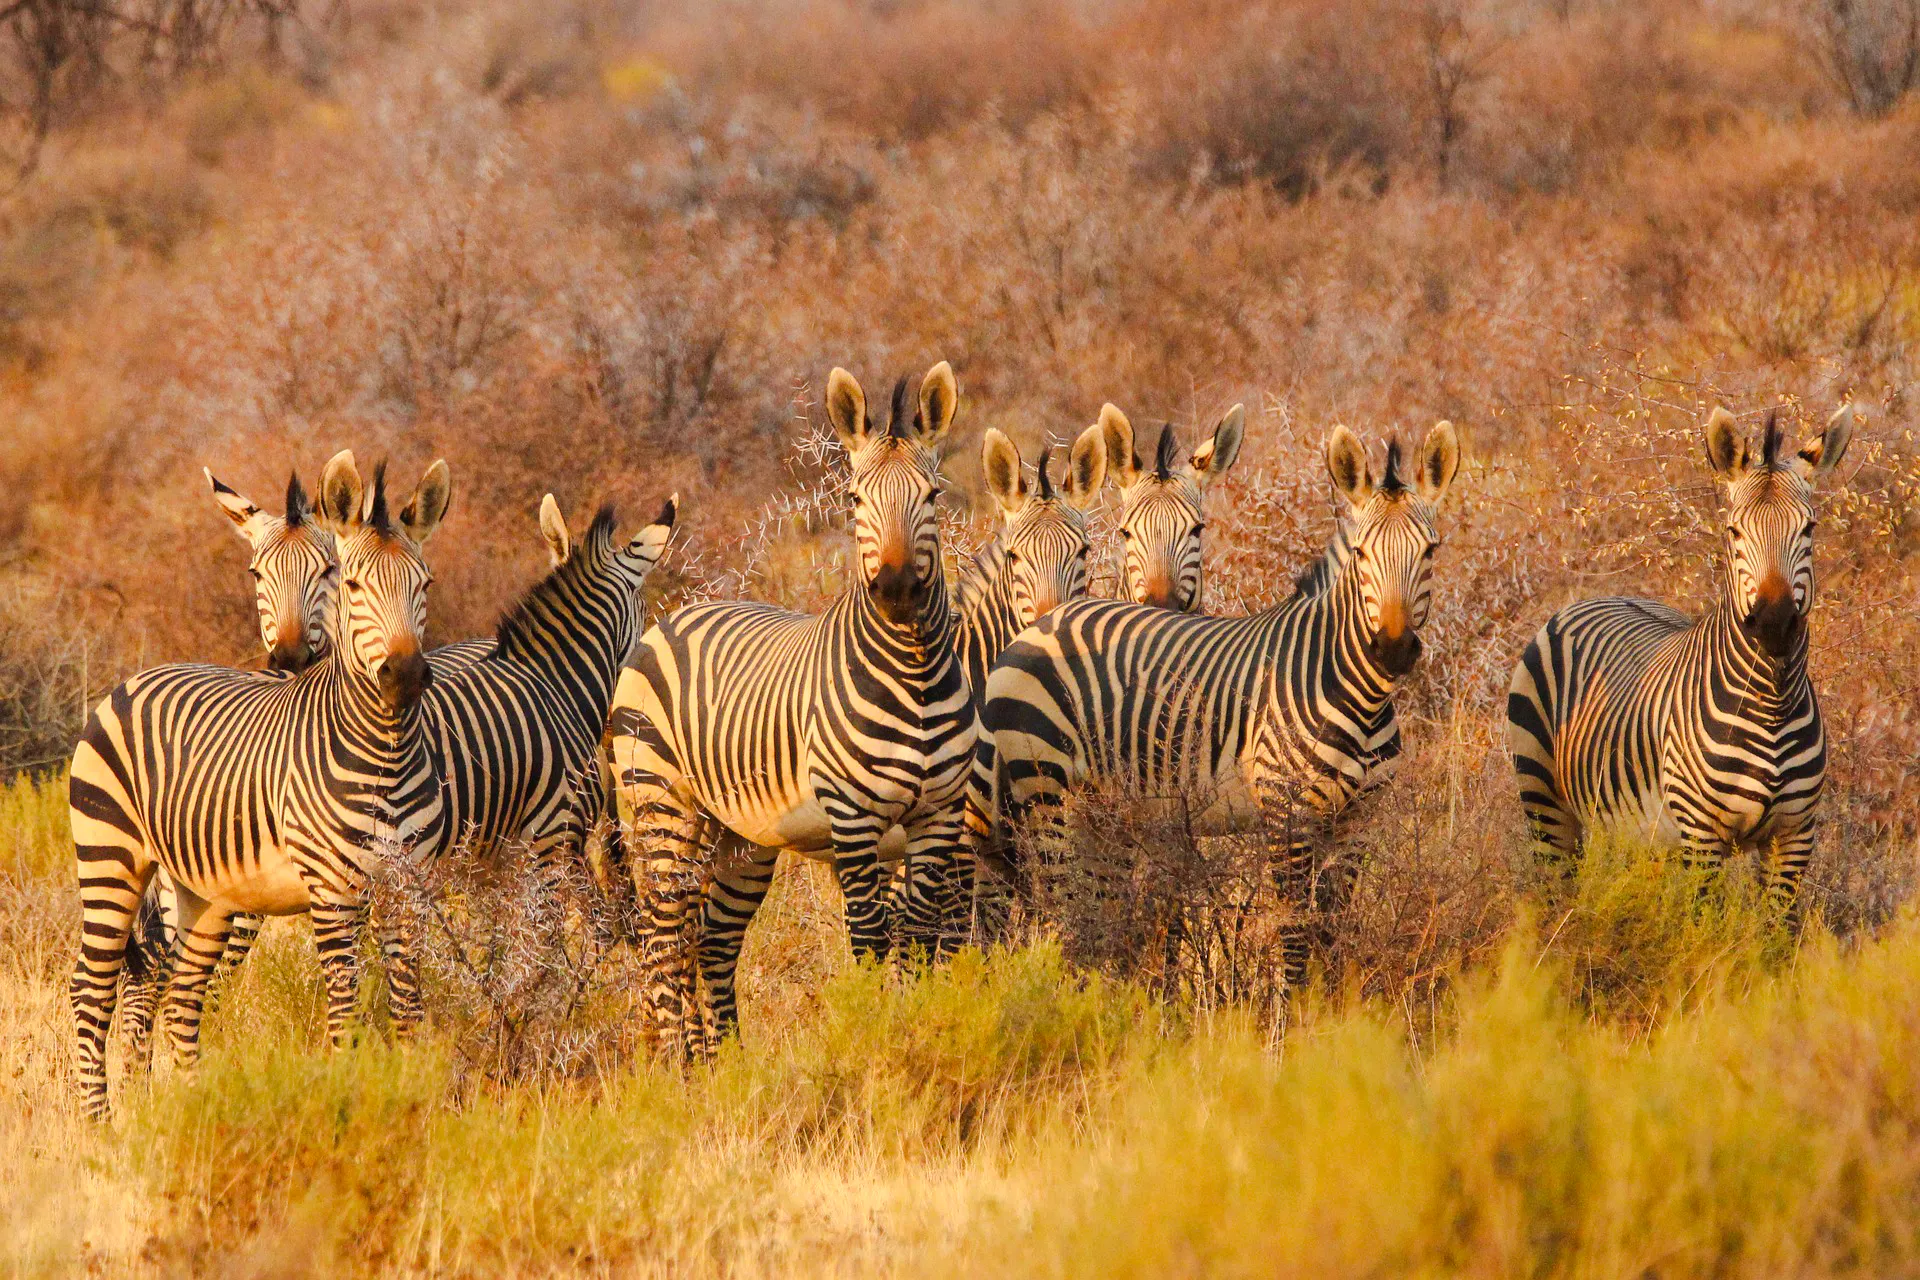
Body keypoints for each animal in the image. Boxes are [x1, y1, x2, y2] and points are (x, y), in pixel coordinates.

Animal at [69, 455, 452, 1118]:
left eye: (424, 584)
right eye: (355, 586)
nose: (404, 676)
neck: (386, 751)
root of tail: (135, 677)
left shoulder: (410, 889)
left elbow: (408, 1011)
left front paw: (413, 1101)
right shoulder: (333, 892)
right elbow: (347, 1014)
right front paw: (348, 1106)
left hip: (203, 893)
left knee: (180, 997)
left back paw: (196, 1105)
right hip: (110, 861)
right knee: (92, 990)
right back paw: (100, 1123)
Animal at [609, 362, 972, 1057]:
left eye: (934, 497)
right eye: (855, 500)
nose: (895, 590)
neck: (913, 672)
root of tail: (675, 616)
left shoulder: (940, 817)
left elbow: (916, 941)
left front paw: (915, 1028)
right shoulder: (854, 820)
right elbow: (871, 942)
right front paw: (875, 1039)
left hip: (741, 835)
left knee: (710, 943)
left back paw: (725, 1063)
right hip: (660, 807)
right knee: (663, 944)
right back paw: (676, 1068)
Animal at [1505, 404, 1854, 923]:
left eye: (1809, 529)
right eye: (1733, 531)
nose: (1774, 625)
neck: (1771, 701)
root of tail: (1604, 595)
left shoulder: (1794, 835)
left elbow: (1774, 938)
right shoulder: (1702, 836)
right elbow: (1704, 932)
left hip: (1632, 827)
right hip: (1545, 803)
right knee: (1557, 893)